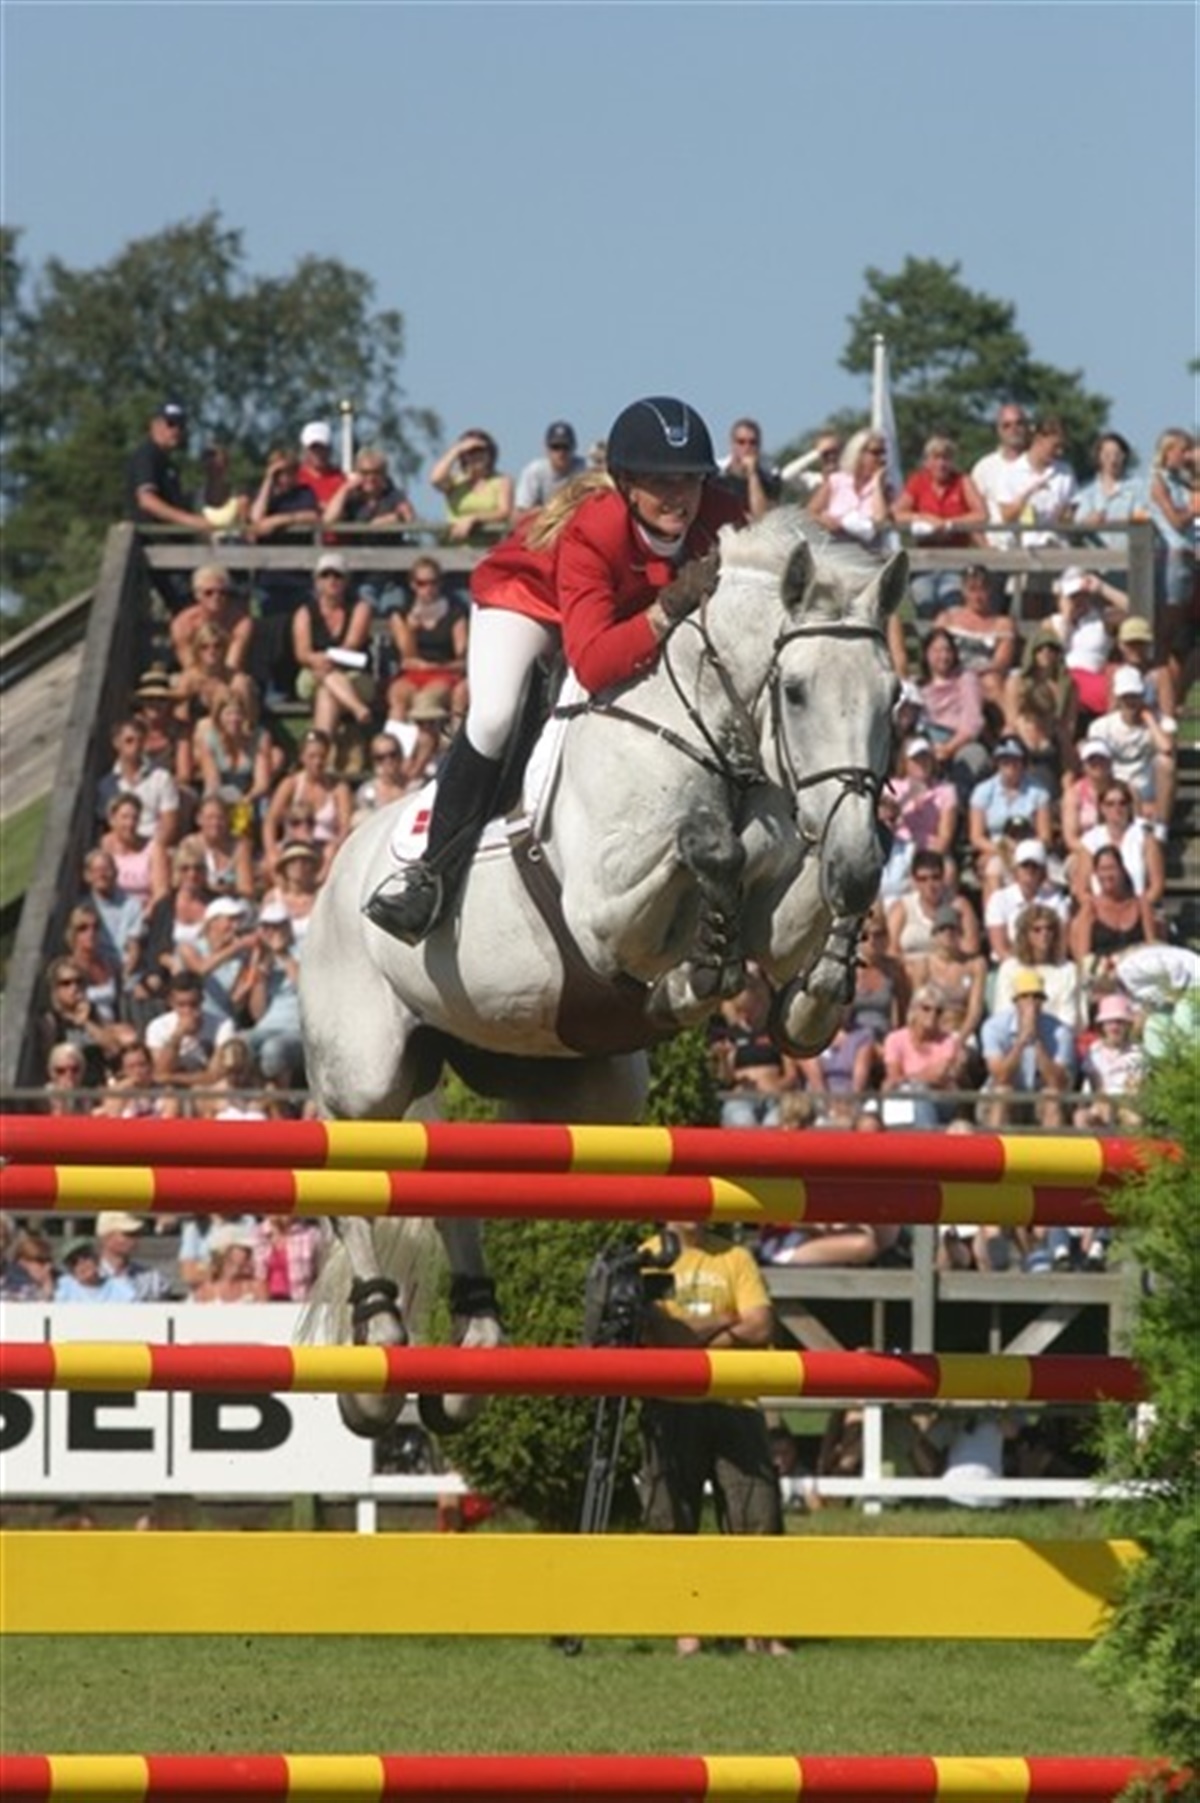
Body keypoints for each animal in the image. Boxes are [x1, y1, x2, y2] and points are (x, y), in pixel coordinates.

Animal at [299, 508, 904, 1436]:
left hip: (565, 1095)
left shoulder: (785, 884)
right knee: (354, 1177)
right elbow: (707, 852)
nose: (856, 865)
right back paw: (379, 1355)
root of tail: (330, 878)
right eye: (796, 691)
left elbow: (784, 902)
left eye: (892, 697)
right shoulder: (602, 909)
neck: (713, 741)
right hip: (366, 1072)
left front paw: (816, 990)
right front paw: (698, 970)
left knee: (459, 1179)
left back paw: (474, 1345)